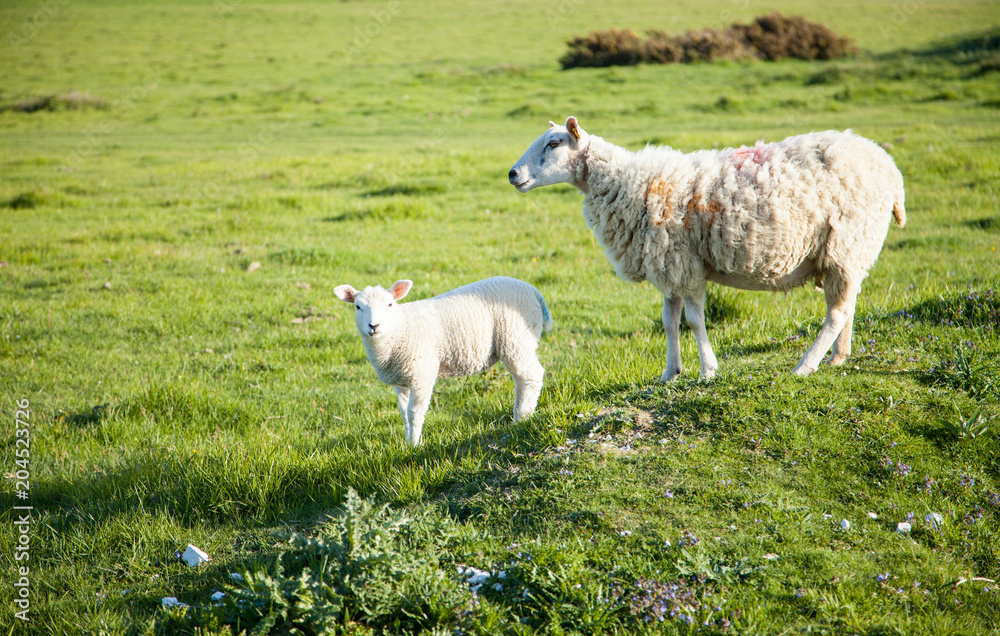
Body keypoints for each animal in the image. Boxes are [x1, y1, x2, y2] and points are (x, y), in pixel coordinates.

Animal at [334, 276, 552, 445]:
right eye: (358, 307)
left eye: (389, 304)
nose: (374, 326)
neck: (400, 328)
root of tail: (535, 292)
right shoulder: (400, 381)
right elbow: (404, 414)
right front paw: (408, 443)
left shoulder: (421, 375)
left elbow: (415, 412)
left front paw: (415, 445)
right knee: (521, 381)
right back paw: (518, 416)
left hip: (516, 339)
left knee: (531, 377)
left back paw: (523, 417)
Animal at [508, 116, 905, 379]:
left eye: (554, 144)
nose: (512, 174)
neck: (629, 182)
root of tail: (887, 165)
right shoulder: (668, 266)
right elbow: (668, 322)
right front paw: (670, 373)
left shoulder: (684, 265)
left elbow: (695, 321)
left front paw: (707, 370)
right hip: (845, 253)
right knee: (846, 304)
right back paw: (838, 357)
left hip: (848, 241)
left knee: (836, 312)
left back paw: (804, 365)